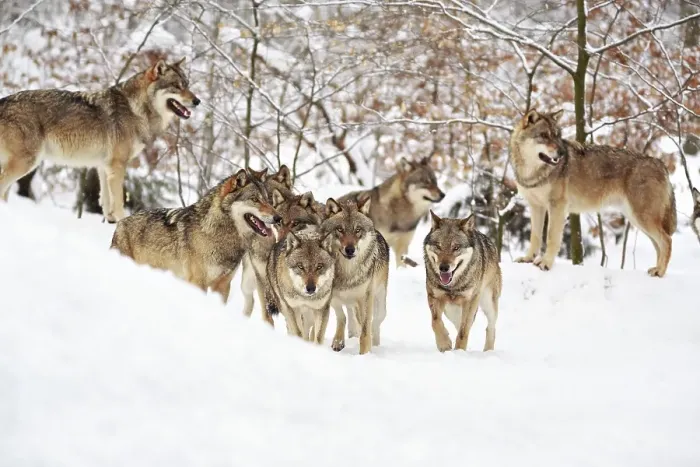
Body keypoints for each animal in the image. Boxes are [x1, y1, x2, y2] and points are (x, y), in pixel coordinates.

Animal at [0, 58, 199, 222]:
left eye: (187, 85)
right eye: (177, 86)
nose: (197, 101)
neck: (136, 109)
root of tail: (4, 101)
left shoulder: (104, 166)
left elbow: (106, 203)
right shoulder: (117, 165)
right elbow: (118, 202)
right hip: (26, 163)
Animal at [110, 168, 280, 301]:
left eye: (268, 200)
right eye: (254, 199)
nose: (278, 218)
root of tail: (121, 222)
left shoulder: (223, 286)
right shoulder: (198, 282)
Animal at [321, 197, 390, 354]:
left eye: (357, 230)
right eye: (340, 229)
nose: (350, 249)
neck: (348, 273)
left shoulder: (365, 297)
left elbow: (365, 330)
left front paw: (365, 354)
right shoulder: (332, 295)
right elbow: (342, 317)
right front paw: (338, 342)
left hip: (379, 299)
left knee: (376, 321)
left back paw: (375, 343)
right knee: (352, 315)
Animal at [423, 211, 502, 352]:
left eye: (456, 247)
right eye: (438, 246)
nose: (443, 268)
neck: (453, 286)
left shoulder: (470, 301)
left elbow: (463, 331)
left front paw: (459, 351)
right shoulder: (434, 296)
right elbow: (435, 321)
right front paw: (444, 344)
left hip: (488, 303)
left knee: (490, 327)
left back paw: (488, 351)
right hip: (450, 310)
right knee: (457, 324)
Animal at [510, 109, 677, 277]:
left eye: (557, 136)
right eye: (544, 135)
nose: (562, 153)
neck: (532, 172)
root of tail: (661, 164)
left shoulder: (557, 206)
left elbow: (551, 237)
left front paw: (546, 263)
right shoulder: (536, 206)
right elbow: (535, 236)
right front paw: (528, 259)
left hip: (642, 218)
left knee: (667, 240)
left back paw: (660, 271)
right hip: (636, 219)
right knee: (659, 244)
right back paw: (656, 269)